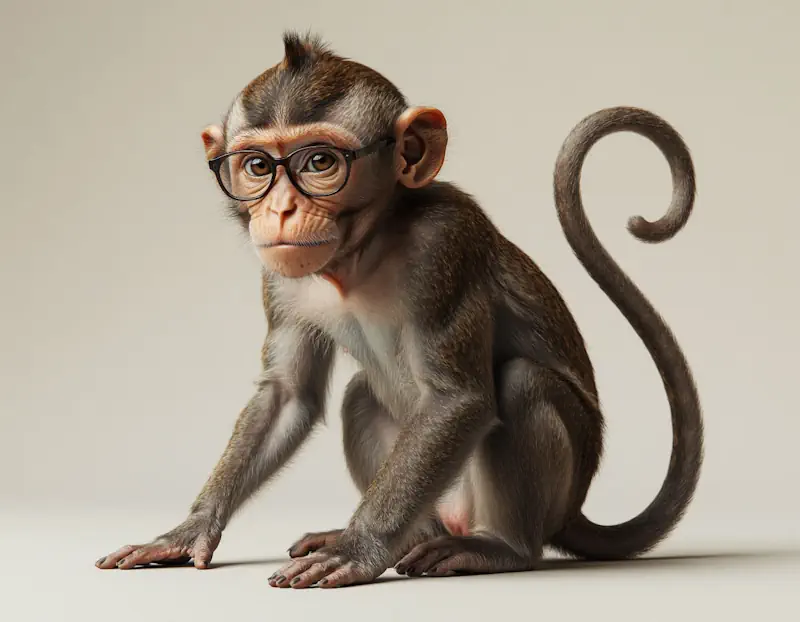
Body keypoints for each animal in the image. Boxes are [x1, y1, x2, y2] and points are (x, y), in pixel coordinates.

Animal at [95, 31, 703, 589]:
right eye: (257, 166)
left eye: (320, 162)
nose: (281, 209)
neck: (359, 255)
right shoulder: (278, 279)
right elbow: (288, 395)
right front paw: (189, 529)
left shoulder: (445, 244)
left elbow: (458, 400)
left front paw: (359, 549)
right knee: (360, 397)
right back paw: (412, 537)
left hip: (553, 489)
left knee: (522, 383)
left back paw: (499, 548)